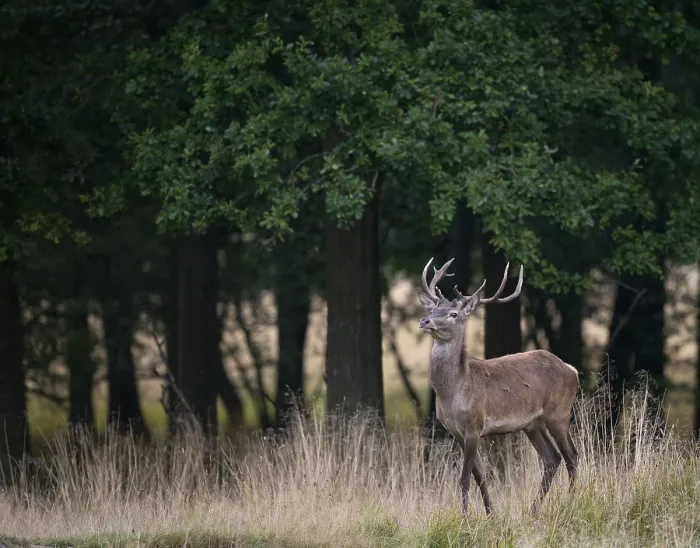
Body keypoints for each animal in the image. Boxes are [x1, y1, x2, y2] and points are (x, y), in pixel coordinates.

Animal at [417, 256, 580, 516]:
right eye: (432, 309)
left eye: (453, 313)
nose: (425, 320)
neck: (452, 392)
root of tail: (572, 370)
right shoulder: (455, 431)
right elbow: (480, 475)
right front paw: (491, 515)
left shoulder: (474, 424)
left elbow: (464, 478)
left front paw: (465, 518)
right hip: (532, 424)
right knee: (552, 459)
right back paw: (533, 511)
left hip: (559, 413)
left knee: (572, 457)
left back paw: (570, 505)